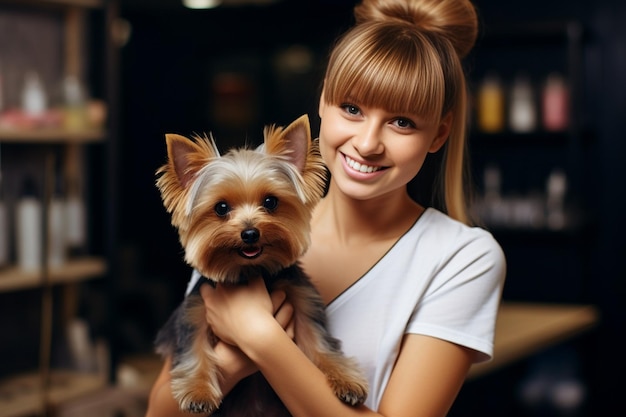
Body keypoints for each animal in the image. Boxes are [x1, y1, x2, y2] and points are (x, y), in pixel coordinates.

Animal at [152, 115, 366, 414]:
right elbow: (193, 348)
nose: (250, 233)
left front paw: (347, 381)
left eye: (270, 202)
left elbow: (321, 344)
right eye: (221, 208)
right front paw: (198, 391)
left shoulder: (303, 301)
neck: (253, 273)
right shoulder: (195, 310)